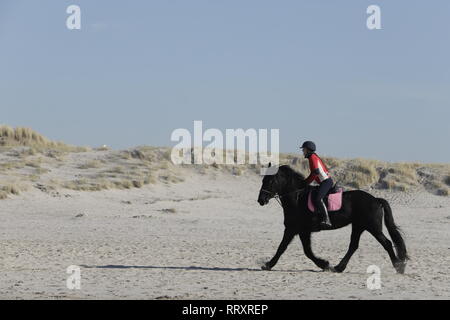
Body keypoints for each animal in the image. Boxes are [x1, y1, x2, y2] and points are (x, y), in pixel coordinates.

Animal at [256, 165, 408, 272]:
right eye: (263, 180)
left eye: (270, 181)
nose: (260, 200)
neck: (297, 198)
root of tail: (376, 200)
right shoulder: (300, 230)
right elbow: (303, 250)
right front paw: (324, 264)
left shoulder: (295, 229)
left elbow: (287, 248)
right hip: (358, 226)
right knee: (353, 246)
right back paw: (339, 267)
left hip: (373, 227)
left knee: (387, 243)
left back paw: (398, 267)